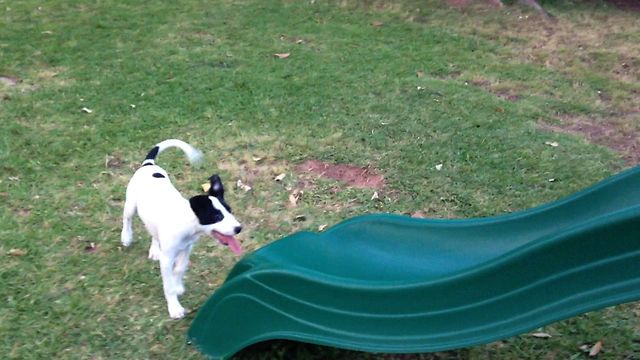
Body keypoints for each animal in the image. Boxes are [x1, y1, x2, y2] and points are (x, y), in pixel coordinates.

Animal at [120, 139, 242, 320]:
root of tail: (148, 165)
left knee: (153, 232)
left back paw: (154, 250)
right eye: (217, 216)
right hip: (131, 205)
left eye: (230, 210)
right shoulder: (167, 259)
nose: (239, 228)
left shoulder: (186, 248)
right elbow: (168, 285)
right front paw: (175, 307)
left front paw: (178, 286)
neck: (187, 224)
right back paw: (126, 237)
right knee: (127, 219)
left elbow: (179, 268)